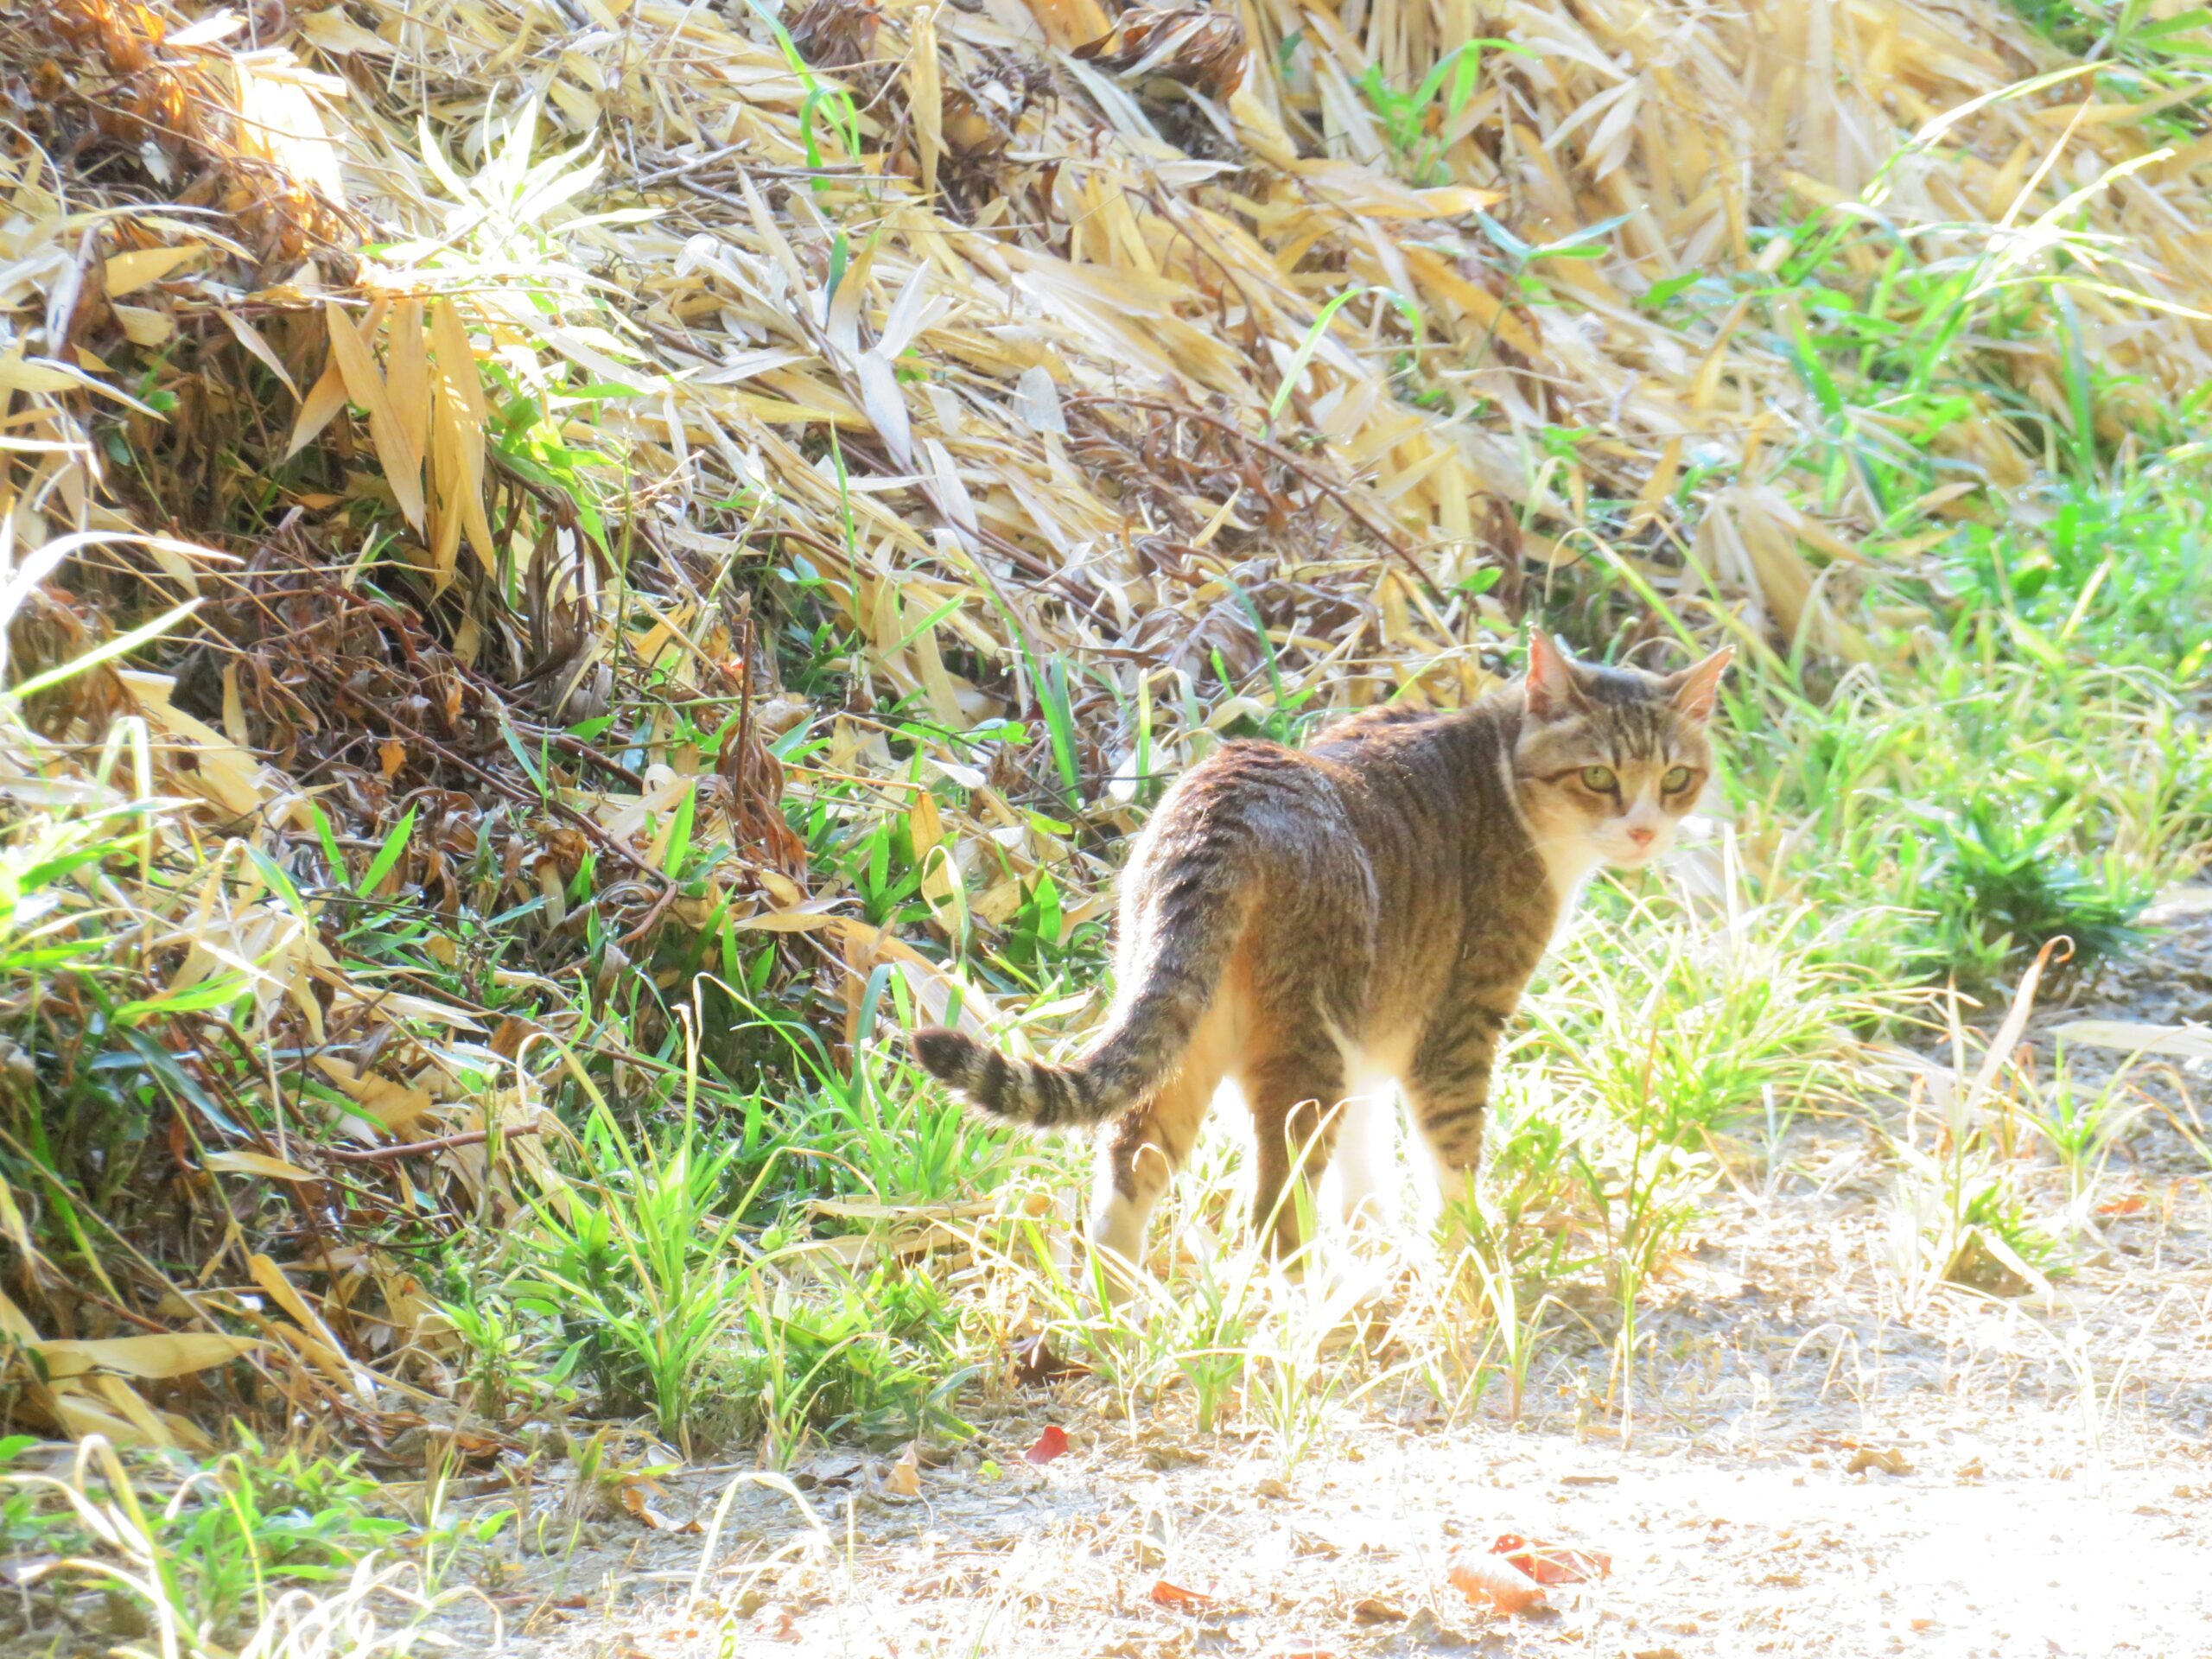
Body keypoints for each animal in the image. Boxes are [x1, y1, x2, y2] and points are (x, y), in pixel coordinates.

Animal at [911, 637, 1725, 1274]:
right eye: (1599, 777)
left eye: (1677, 779)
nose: (1645, 831)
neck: (1501, 759)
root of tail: (1225, 808)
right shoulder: (1458, 1021)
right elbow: (1452, 1154)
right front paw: (1469, 1258)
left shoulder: (1382, 1026)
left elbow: (1368, 1155)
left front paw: (1379, 1234)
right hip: (1309, 1048)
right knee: (1273, 1214)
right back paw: (1306, 1320)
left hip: (1182, 1022)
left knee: (1129, 1170)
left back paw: (1121, 1319)